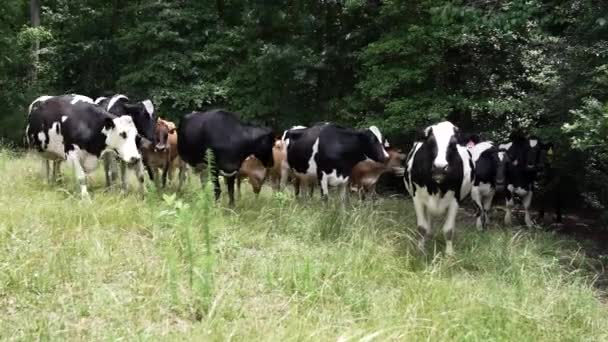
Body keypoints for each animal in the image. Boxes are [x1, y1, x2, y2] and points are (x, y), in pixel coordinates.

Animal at [404, 121, 476, 255]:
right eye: (430, 142)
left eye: (453, 144)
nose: (439, 168)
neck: (437, 187)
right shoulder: (417, 198)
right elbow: (421, 227)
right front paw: (420, 250)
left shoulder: (456, 199)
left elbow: (448, 230)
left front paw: (449, 254)